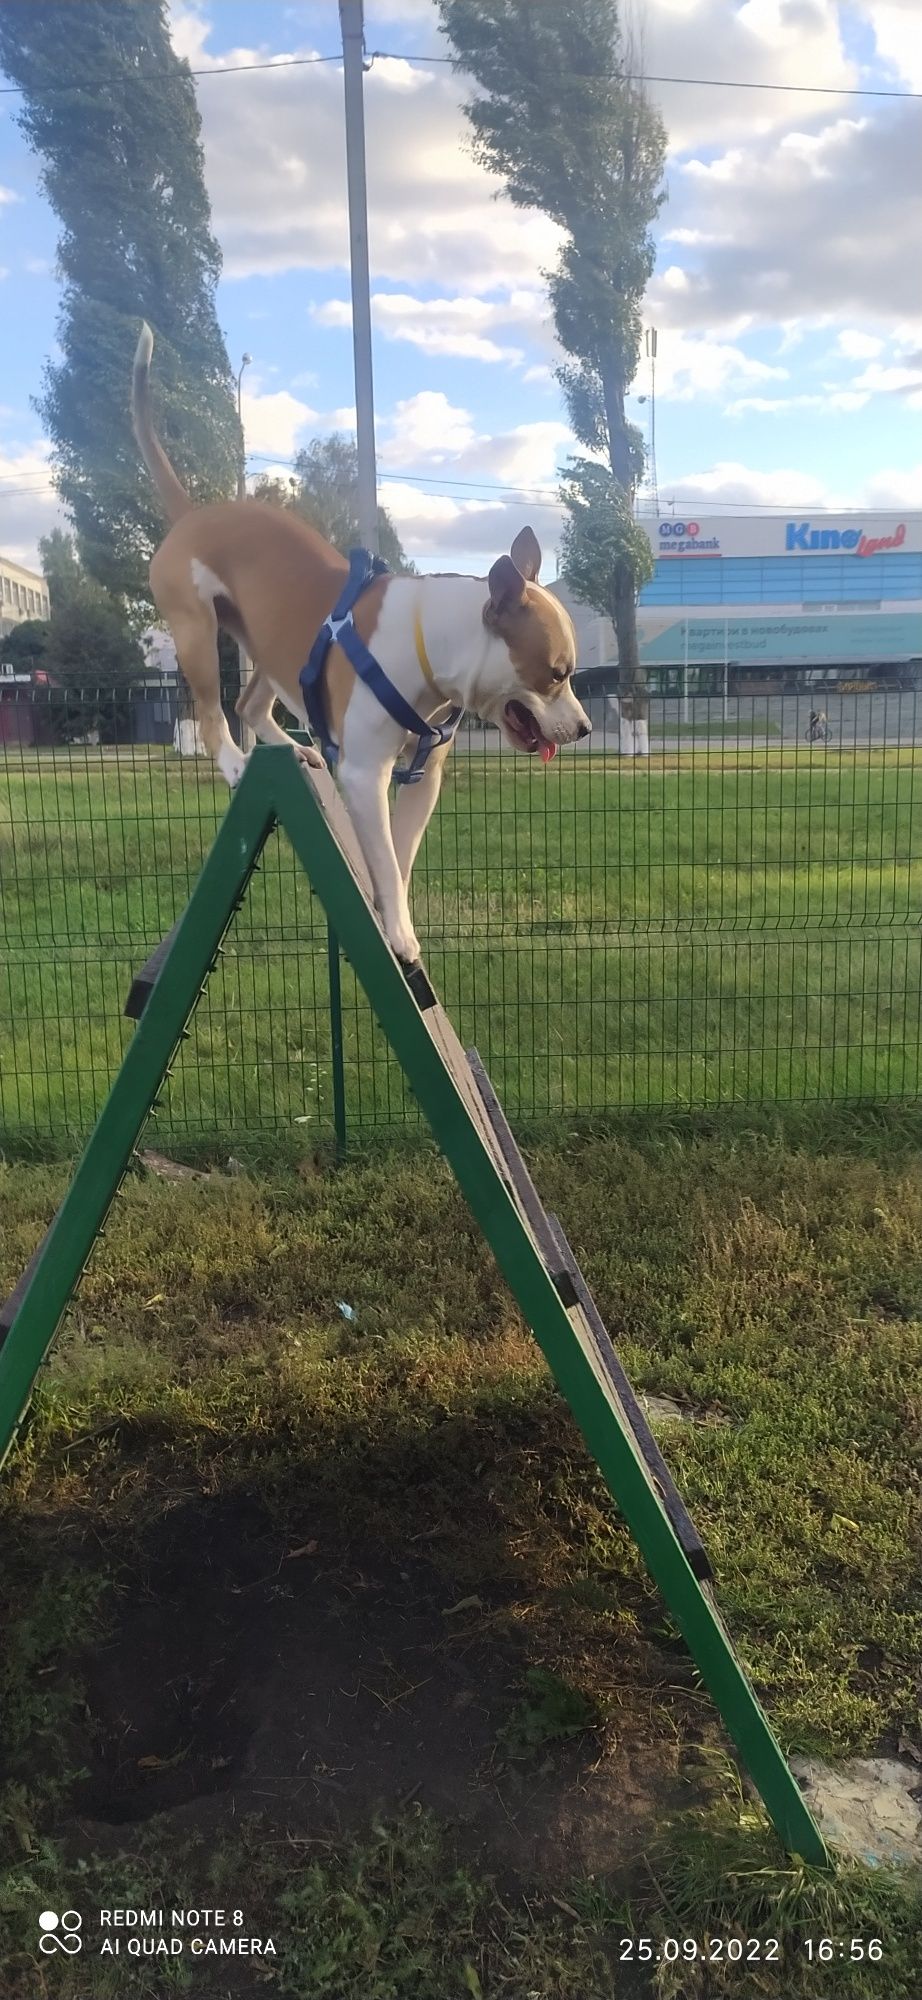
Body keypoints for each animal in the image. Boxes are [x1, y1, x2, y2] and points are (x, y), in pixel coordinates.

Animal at [132, 322, 584, 960]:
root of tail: (193, 514)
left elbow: (398, 856)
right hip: (196, 631)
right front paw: (398, 933)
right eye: (556, 673)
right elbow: (388, 861)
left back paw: (294, 748)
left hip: (271, 647)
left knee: (250, 703)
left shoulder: (424, 779)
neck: (430, 646)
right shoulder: (367, 774)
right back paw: (235, 763)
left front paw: (392, 910)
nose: (586, 728)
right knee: (213, 711)